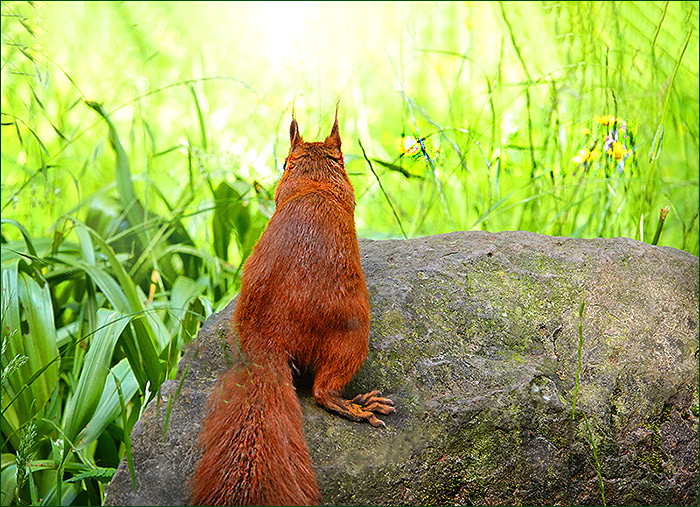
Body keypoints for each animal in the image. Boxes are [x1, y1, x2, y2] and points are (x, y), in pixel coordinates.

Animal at [190, 109, 395, 506]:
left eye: (284, 163)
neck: (313, 185)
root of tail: (266, 343)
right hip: (354, 334)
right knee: (321, 392)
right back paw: (356, 406)